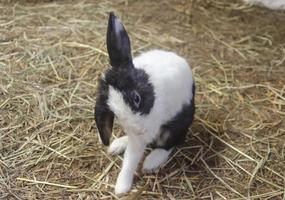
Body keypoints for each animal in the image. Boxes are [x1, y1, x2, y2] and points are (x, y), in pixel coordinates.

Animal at [94, 11, 194, 195]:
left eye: (136, 98)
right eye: (115, 113)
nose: (140, 130)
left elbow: (131, 159)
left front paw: (121, 187)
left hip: (175, 126)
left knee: (170, 144)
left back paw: (151, 162)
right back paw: (118, 144)